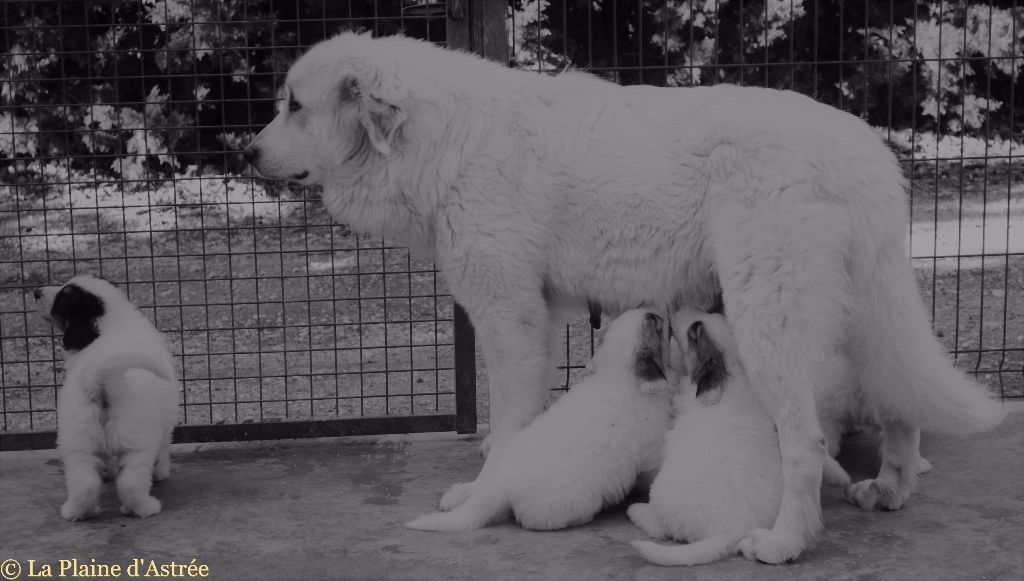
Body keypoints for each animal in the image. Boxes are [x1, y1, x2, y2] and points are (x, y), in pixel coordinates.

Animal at [33, 274, 178, 520]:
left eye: (62, 298)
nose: (35, 292)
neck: (110, 321)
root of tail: (100, 380)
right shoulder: (165, 423)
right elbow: (165, 447)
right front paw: (161, 472)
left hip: (77, 441)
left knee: (84, 483)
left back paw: (78, 511)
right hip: (137, 441)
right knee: (130, 483)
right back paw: (144, 507)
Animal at [403, 311, 675, 532]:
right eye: (657, 323)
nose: (660, 310)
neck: (619, 375)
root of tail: (499, 484)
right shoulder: (650, 451)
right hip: (564, 503)